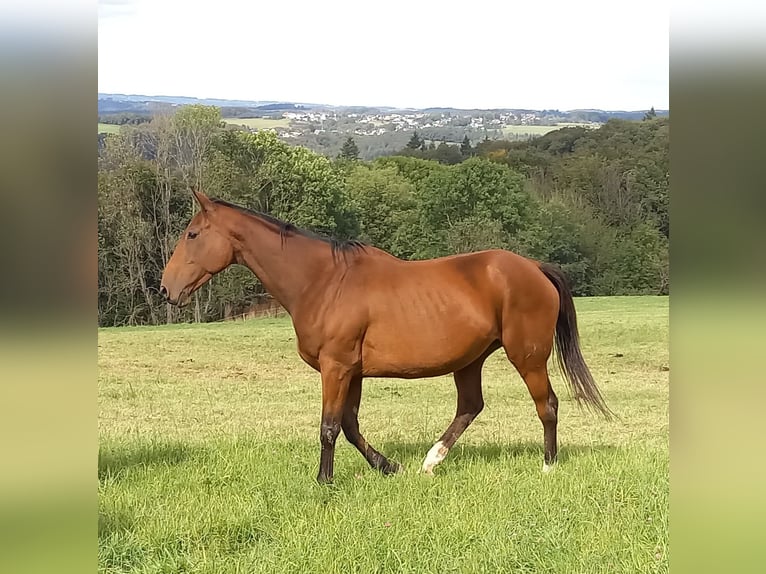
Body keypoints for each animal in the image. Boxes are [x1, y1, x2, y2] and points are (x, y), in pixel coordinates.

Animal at [160, 191, 612, 484]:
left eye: (192, 235)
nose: (167, 289)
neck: (323, 281)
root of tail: (534, 267)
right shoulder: (352, 372)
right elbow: (349, 424)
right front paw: (387, 466)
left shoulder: (336, 367)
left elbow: (329, 426)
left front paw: (324, 481)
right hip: (471, 360)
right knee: (470, 407)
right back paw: (431, 462)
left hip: (527, 356)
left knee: (547, 405)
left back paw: (548, 466)